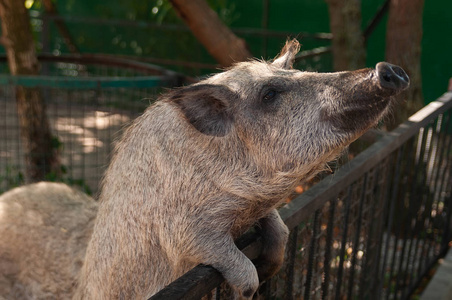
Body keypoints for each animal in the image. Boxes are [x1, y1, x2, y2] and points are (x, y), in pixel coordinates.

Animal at [0, 39, 410, 300]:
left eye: (301, 73)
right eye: (269, 94)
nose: (388, 69)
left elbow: (278, 229)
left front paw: (271, 265)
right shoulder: (181, 227)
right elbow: (209, 246)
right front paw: (249, 289)